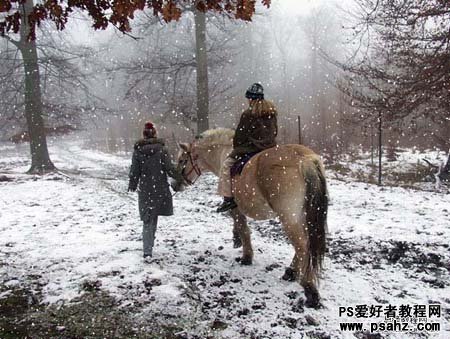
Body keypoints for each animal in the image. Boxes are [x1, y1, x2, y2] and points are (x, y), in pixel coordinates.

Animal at [176, 128, 326, 308]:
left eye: (182, 160)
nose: (174, 184)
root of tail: (304, 159)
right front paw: (237, 241)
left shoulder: (236, 209)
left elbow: (243, 229)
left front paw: (246, 256)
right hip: (302, 216)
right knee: (305, 244)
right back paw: (292, 272)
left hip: (289, 217)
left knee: (302, 245)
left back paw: (309, 288)